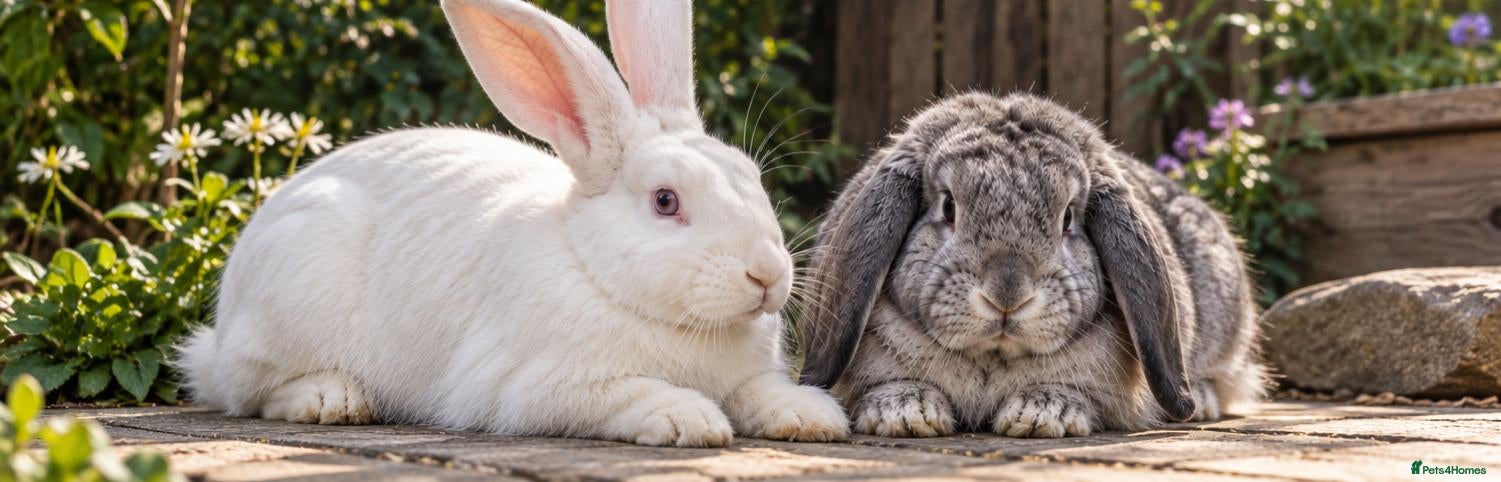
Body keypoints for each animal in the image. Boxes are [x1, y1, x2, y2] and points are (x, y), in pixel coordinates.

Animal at [177, 0, 849, 447]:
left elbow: (760, 393)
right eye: (665, 201)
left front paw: (812, 417)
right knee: (245, 390)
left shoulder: (746, 377)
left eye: (751, 178)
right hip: (292, 290)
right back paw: (331, 399)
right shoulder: (535, 387)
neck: (598, 274)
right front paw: (692, 420)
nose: (767, 275)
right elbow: (628, 393)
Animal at [796, 92, 1267, 438]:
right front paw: (907, 414)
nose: (1007, 294)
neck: (992, 358)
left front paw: (1040, 415)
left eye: (1068, 219)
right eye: (949, 207)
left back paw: (1202, 400)